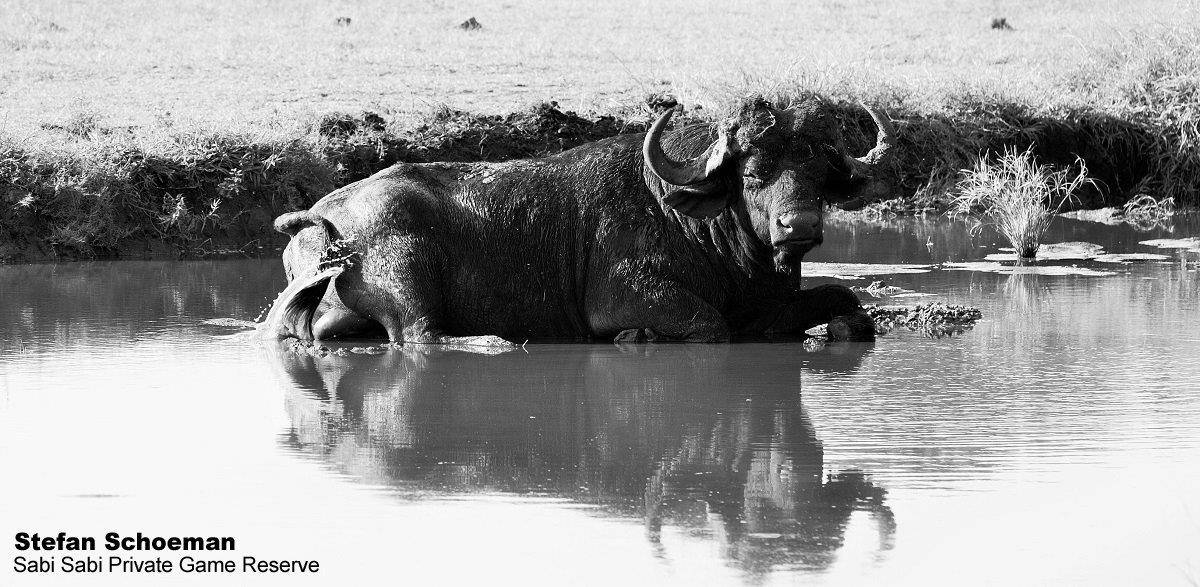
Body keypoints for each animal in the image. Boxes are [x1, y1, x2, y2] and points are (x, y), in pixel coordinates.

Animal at [266, 96, 896, 345]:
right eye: (756, 173)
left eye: (818, 173)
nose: (799, 225)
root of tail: (318, 221)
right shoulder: (627, 295)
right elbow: (712, 325)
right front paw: (637, 336)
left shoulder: (772, 302)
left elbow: (847, 299)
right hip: (407, 278)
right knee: (420, 337)